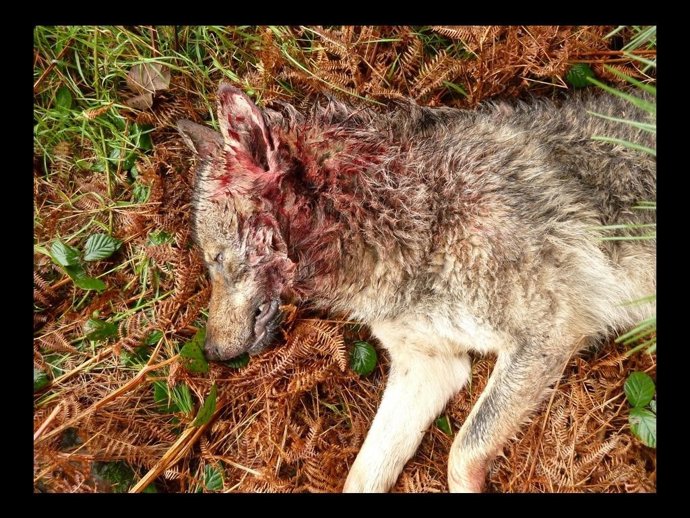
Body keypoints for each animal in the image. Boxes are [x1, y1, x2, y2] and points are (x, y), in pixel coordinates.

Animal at [177, 83, 655, 492]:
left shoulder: (548, 334)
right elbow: (360, 477)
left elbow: (462, 451)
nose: (211, 353)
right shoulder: (429, 367)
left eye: (217, 259)